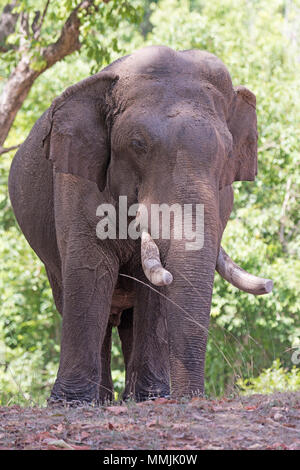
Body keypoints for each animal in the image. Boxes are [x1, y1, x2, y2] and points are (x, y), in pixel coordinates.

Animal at [8, 45, 274, 404]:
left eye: (227, 154)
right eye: (138, 145)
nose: (190, 398)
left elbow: (154, 290)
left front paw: (152, 398)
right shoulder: (75, 179)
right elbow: (90, 270)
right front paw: (70, 403)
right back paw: (101, 400)